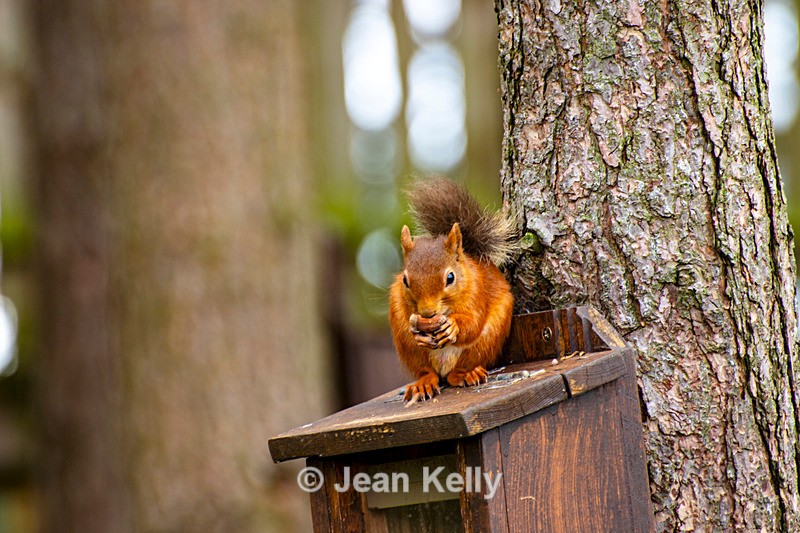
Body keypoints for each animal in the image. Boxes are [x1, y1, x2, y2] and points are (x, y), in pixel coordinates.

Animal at [389, 177, 516, 402]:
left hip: (486, 341)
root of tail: (443, 369)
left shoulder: (477, 292)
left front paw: (453, 326)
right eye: (405, 280)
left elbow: (473, 321)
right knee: (426, 371)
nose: (427, 313)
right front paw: (417, 330)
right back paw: (423, 383)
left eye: (450, 278)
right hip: (409, 348)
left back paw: (467, 374)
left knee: (458, 371)